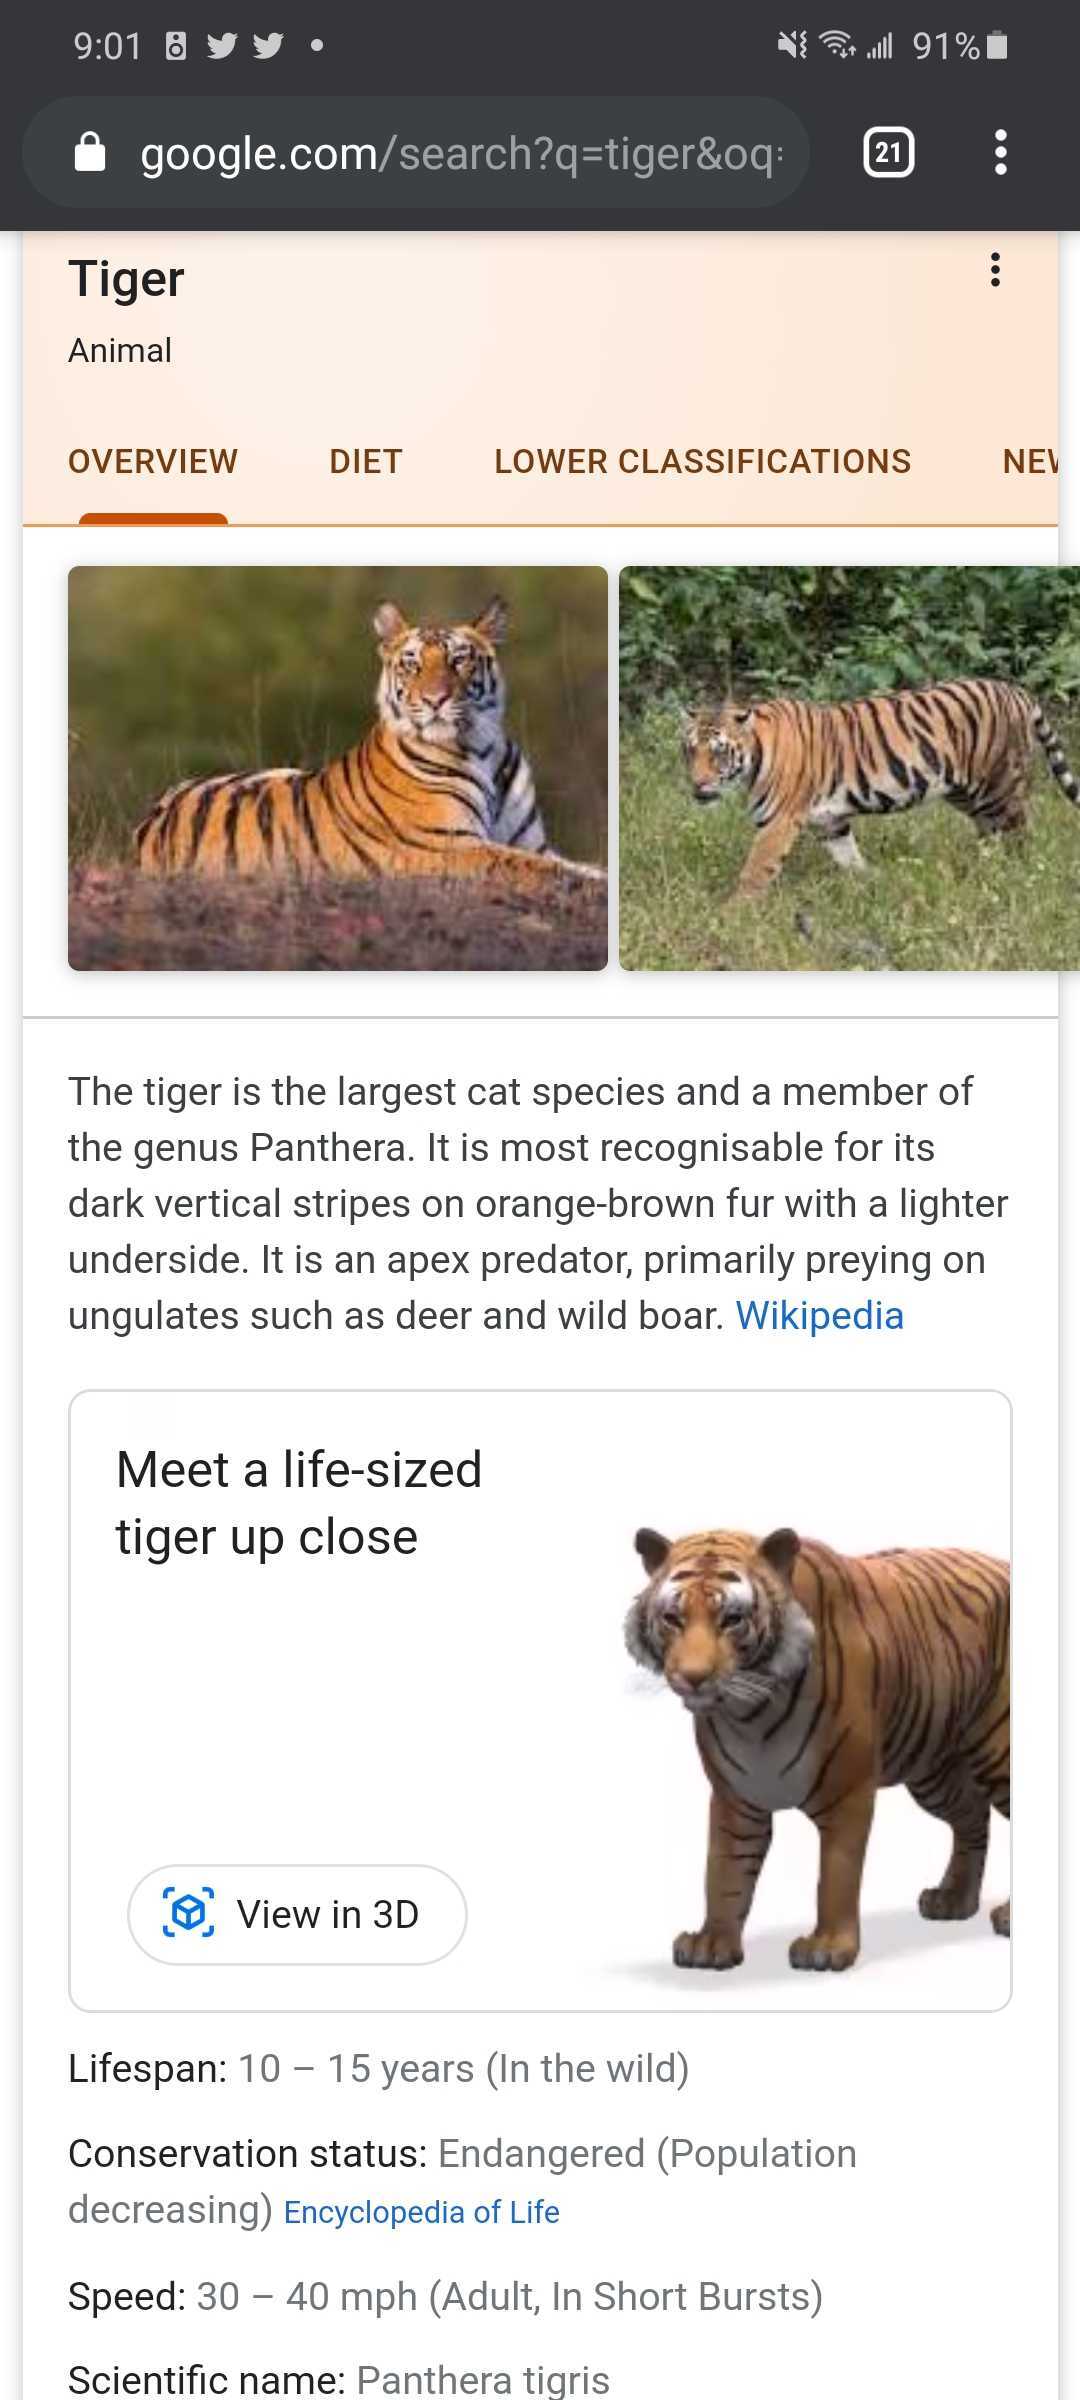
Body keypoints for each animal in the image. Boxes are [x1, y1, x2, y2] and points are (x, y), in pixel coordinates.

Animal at [134, 596, 604, 896]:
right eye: (412, 663)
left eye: (459, 659)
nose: (435, 699)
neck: (482, 747)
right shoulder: (446, 845)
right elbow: (529, 866)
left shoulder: (531, 842)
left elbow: (564, 861)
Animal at [625, 1524, 1009, 1973]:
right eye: (673, 1618)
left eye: (732, 1619)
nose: (692, 1677)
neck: (749, 1716)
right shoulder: (734, 1797)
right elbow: (723, 1874)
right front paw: (712, 1944)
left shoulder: (848, 1793)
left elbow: (836, 1875)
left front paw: (827, 1948)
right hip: (933, 1770)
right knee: (974, 1815)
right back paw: (953, 1900)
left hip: (997, 1750)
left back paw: (1008, 1916)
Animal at [682, 675, 1079, 898]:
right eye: (689, 750)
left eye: (718, 753)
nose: (697, 785)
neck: (755, 756)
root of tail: (1017, 691)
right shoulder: (831, 821)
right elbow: (849, 857)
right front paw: (871, 883)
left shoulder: (778, 822)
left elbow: (755, 870)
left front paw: (732, 913)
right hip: (966, 794)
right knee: (991, 832)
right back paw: (984, 869)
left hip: (999, 786)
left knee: (1020, 833)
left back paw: (1015, 876)